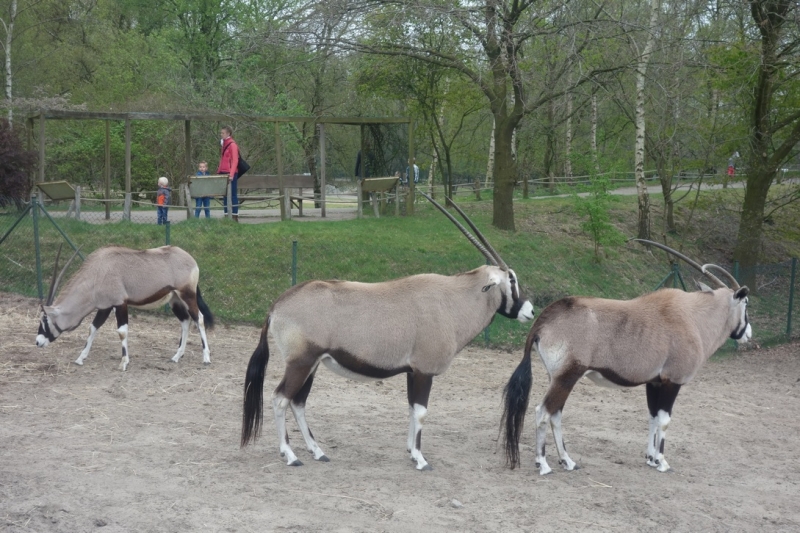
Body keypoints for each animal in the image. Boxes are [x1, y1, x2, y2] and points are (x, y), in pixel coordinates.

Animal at [36, 245, 214, 370]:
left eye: (44, 319)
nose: (37, 342)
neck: (96, 275)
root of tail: (191, 260)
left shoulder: (119, 303)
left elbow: (122, 332)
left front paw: (123, 362)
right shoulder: (105, 306)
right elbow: (93, 328)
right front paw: (80, 358)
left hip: (187, 295)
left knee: (199, 319)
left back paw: (206, 358)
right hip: (174, 300)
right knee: (185, 321)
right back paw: (176, 356)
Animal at [241, 193, 536, 468]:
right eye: (511, 280)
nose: (531, 311)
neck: (452, 300)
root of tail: (276, 305)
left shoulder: (413, 371)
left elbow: (411, 409)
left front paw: (411, 452)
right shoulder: (424, 371)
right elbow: (421, 412)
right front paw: (421, 459)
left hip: (311, 365)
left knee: (298, 402)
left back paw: (318, 452)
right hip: (300, 363)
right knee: (281, 399)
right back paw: (290, 455)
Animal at [504, 239, 752, 472]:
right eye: (746, 303)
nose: (748, 333)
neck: (694, 318)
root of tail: (544, 319)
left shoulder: (655, 382)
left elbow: (653, 417)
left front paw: (651, 458)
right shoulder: (672, 381)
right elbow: (664, 421)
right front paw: (662, 462)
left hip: (558, 379)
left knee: (555, 414)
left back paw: (568, 461)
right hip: (567, 377)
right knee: (543, 412)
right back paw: (543, 464)